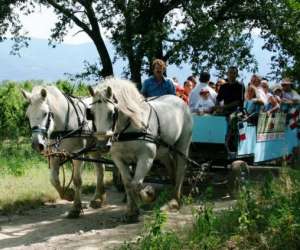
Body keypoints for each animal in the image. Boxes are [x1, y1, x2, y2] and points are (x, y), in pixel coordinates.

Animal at [21, 85, 105, 217]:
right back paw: (98, 198)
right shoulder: (55, 154)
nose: (36, 144)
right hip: (94, 149)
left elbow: (77, 180)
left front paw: (76, 208)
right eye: (27, 115)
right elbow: (54, 179)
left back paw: (97, 198)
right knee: (100, 169)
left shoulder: (78, 154)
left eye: (45, 113)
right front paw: (68, 194)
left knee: (101, 169)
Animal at [89, 78, 192, 223]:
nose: (102, 145)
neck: (129, 127)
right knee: (171, 166)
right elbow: (128, 184)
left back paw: (175, 201)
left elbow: (136, 184)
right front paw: (131, 212)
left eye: (112, 113)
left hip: (182, 146)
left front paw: (149, 194)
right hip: (163, 151)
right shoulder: (119, 159)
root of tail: (179, 100)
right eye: (91, 113)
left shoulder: (146, 157)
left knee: (180, 170)